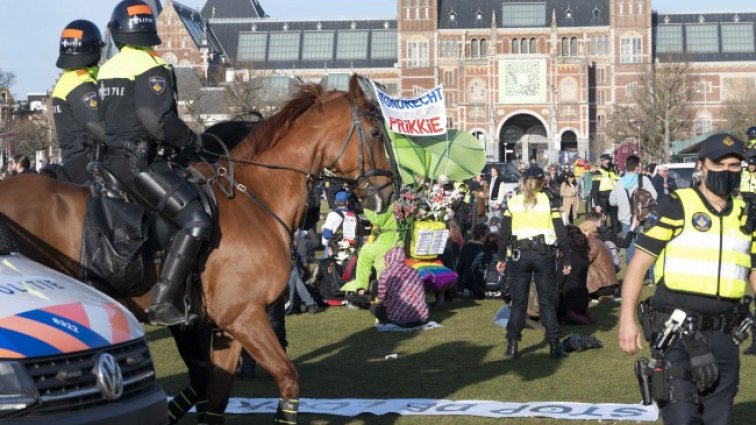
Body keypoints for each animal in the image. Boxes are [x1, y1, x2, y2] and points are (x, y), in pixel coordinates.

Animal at [0, 74, 392, 422]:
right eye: (375, 133)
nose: (389, 192)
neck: (254, 199)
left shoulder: (221, 327)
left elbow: (212, 395)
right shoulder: (244, 317)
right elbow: (287, 379)